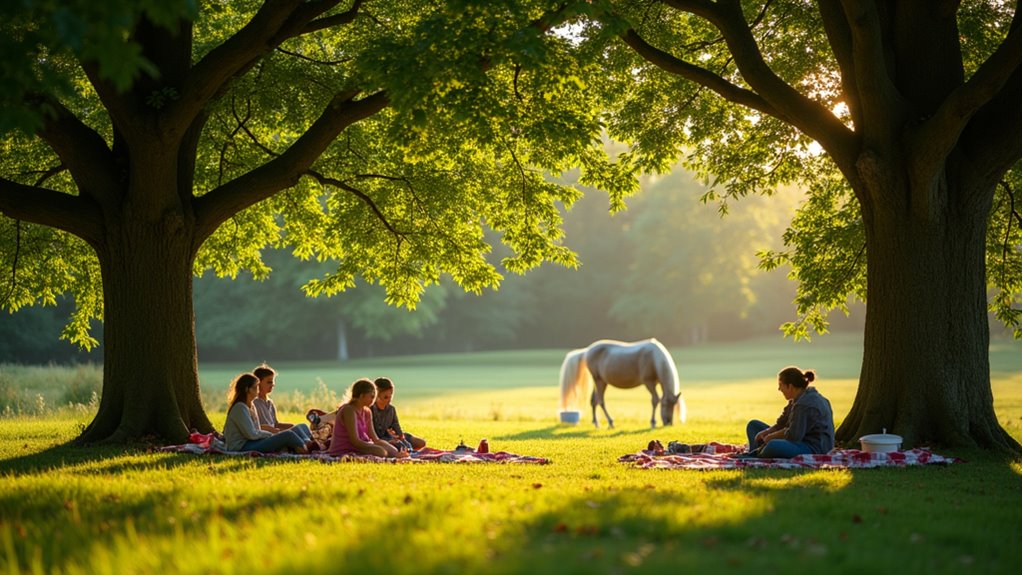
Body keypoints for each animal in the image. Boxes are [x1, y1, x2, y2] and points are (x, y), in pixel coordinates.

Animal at [558, 338, 687, 429]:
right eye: (664, 405)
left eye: (674, 406)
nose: (668, 423)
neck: (655, 358)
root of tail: (587, 351)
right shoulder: (649, 382)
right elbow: (655, 400)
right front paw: (653, 422)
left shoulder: (654, 382)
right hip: (599, 380)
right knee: (600, 400)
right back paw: (610, 422)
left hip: (600, 381)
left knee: (594, 400)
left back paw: (596, 423)